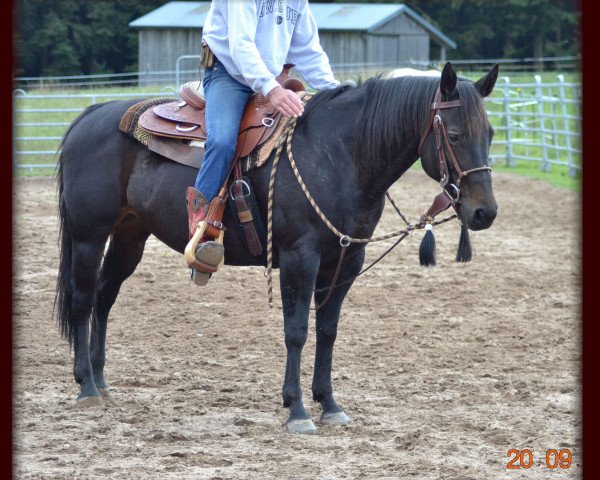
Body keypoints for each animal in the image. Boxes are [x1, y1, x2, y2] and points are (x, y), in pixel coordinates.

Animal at [55, 62, 496, 434]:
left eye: (490, 134)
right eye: (454, 135)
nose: (484, 212)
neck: (339, 155)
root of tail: (92, 115)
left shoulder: (346, 260)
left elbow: (328, 330)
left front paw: (329, 404)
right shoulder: (300, 258)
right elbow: (297, 331)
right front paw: (297, 409)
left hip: (130, 235)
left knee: (104, 297)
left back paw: (101, 380)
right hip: (89, 235)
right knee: (83, 299)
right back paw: (86, 387)